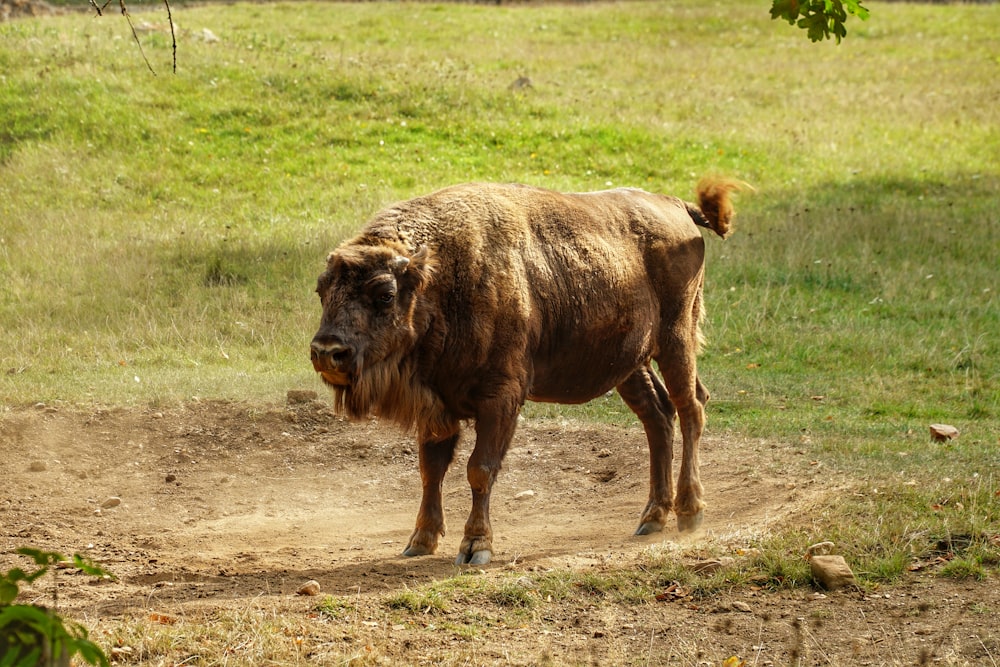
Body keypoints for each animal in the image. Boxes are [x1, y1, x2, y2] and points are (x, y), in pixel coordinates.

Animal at [312, 177, 744, 564]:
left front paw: (476, 547)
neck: (438, 276)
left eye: (385, 294)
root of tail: (676, 207)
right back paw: (652, 518)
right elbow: (430, 470)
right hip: (630, 364)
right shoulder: (437, 406)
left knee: (690, 409)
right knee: (658, 416)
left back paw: (690, 512)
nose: (326, 352)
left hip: (676, 340)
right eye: (321, 290)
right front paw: (420, 541)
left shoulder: (500, 398)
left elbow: (479, 469)